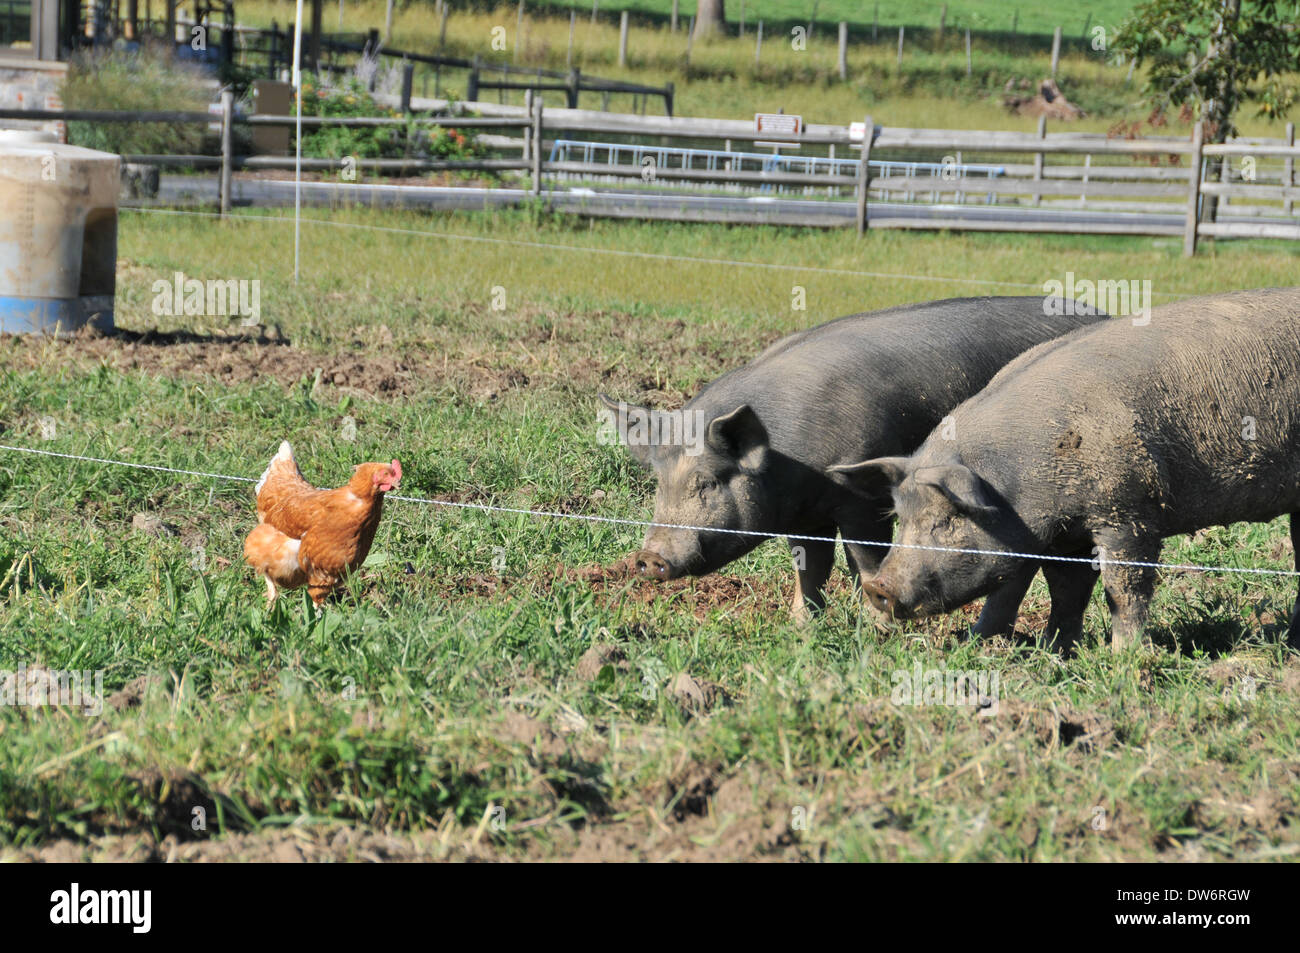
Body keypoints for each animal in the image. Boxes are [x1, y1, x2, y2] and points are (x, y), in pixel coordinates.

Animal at [599, 295, 1104, 623]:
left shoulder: (863, 501)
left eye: (706, 482)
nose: (648, 557)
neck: (791, 463)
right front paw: (802, 628)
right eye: (658, 482)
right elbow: (810, 569)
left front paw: (875, 629)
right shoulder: (805, 516)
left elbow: (866, 564)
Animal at [833, 287, 1300, 652]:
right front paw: (1041, 650)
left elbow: (1124, 588)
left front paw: (1125, 660)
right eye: (901, 519)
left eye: (948, 520)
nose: (878, 586)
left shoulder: (1128, 512)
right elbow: (1058, 590)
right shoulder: (1062, 535)